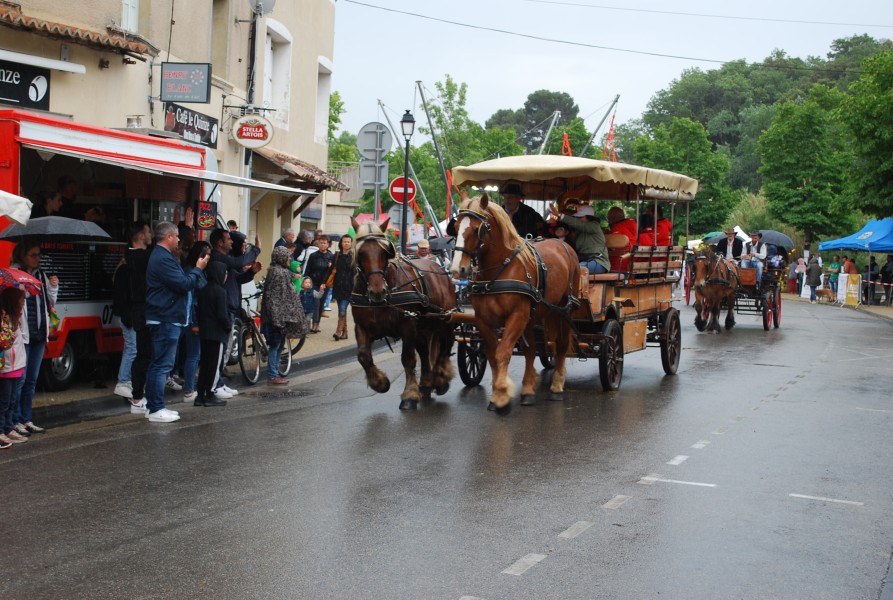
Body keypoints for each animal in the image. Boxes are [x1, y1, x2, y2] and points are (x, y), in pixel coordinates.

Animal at [348, 218, 456, 410]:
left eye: (385, 252)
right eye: (360, 253)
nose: (377, 291)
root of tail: (440, 268)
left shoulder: (408, 325)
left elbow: (408, 359)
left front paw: (410, 395)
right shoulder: (361, 327)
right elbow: (363, 356)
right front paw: (380, 383)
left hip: (444, 319)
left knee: (446, 345)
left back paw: (440, 378)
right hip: (423, 326)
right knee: (424, 350)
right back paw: (426, 383)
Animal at [446, 191, 580, 412]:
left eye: (476, 229)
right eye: (455, 228)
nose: (458, 270)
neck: (499, 271)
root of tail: (562, 244)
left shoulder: (516, 316)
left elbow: (503, 352)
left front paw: (501, 394)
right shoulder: (483, 320)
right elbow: (492, 354)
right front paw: (497, 393)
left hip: (563, 311)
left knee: (560, 345)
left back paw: (557, 386)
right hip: (533, 316)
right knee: (531, 350)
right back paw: (528, 390)